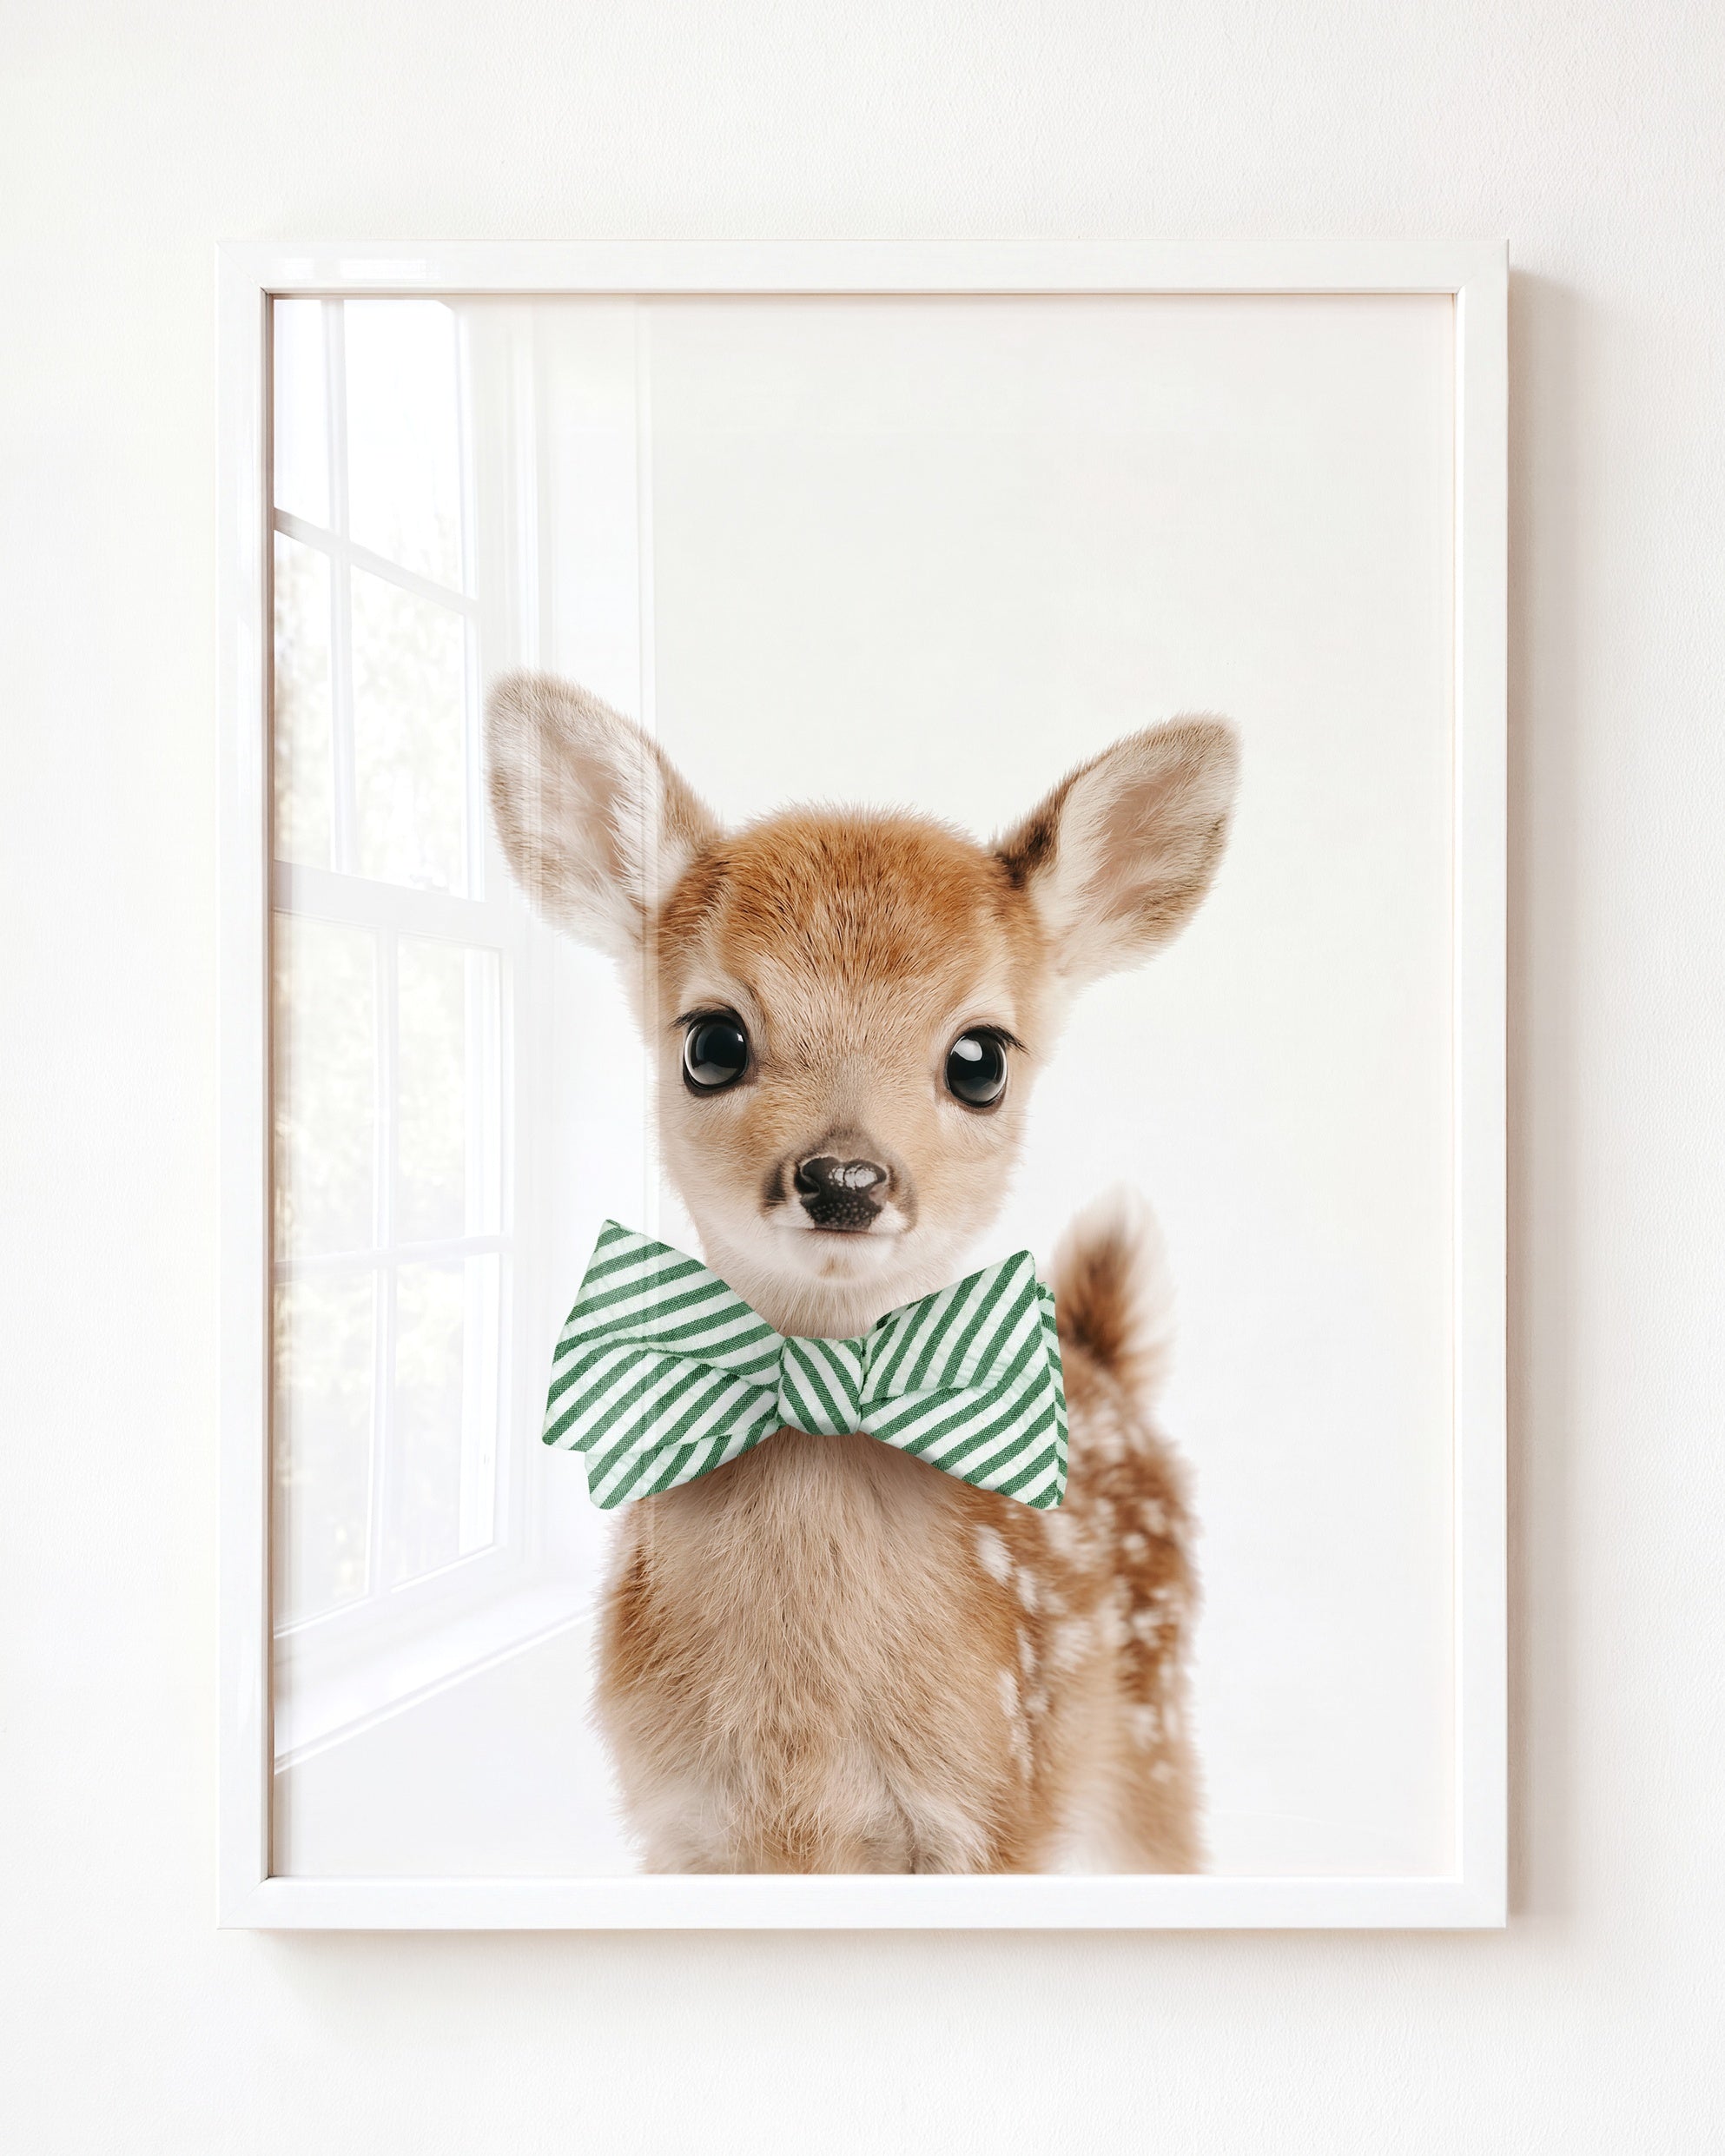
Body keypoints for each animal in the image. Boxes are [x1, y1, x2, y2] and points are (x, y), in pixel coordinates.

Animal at [486, 671, 1238, 1872]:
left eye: (980, 1059)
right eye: (711, 1042)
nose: (844, 1176)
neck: (802, 1760)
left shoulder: (993, 1808)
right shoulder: (680, 1823)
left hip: (1148, 1736)